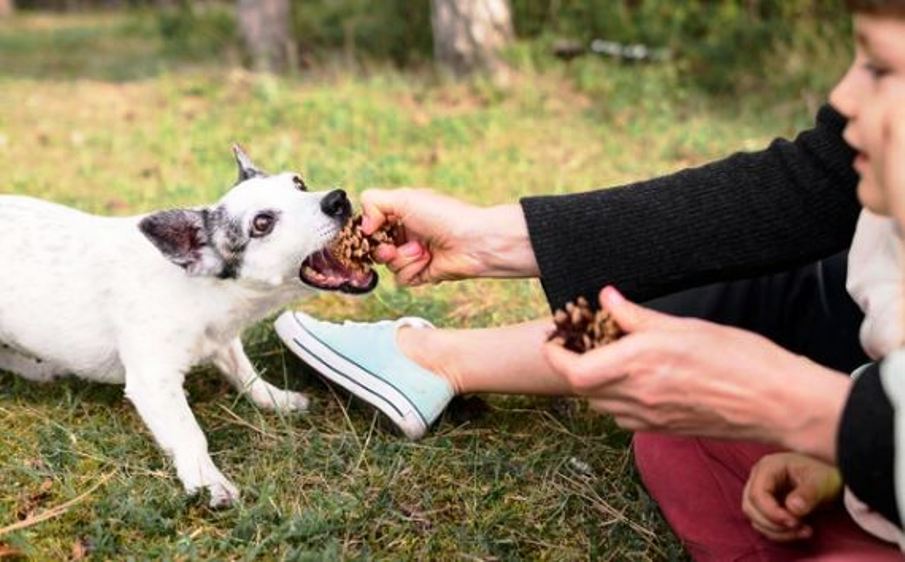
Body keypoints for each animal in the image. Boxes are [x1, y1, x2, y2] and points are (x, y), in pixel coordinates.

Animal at [0, 147, 376, 506]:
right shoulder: (154, 382)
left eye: (299, 183)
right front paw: (209, 481)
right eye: (262, 223)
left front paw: (274, 399)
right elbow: (188, 433)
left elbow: (246, 374)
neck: (203, 287)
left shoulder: (224, 341)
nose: (337, 199)